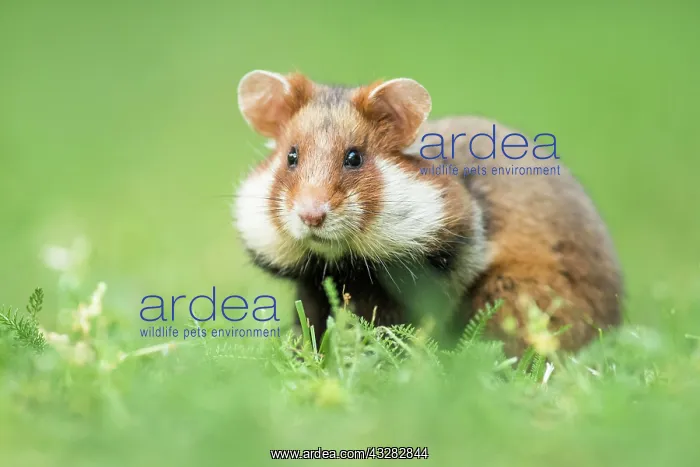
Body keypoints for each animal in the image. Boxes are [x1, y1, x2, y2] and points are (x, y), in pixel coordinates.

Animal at [233, 70, 624, 357]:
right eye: (291, 156)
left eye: (354, 157)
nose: (311, 216)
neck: (346, 263)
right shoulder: (312, 286)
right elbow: (312, 327)